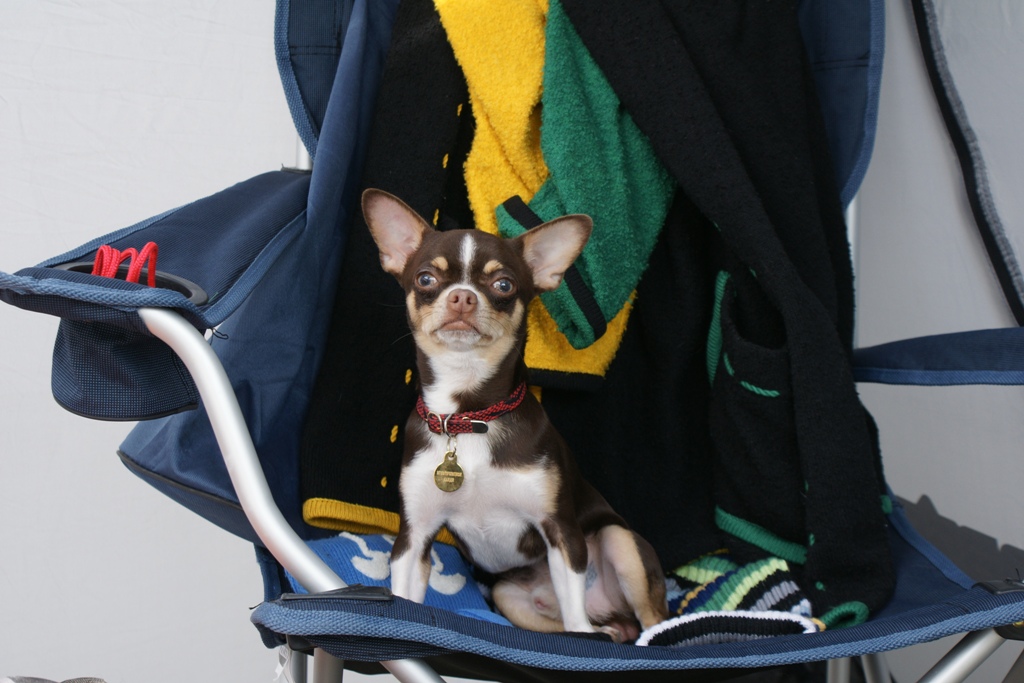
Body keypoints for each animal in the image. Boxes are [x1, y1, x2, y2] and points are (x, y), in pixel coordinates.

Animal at [363, 188, 667, 642]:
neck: (469, 418)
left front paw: (581, 633)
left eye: (503, 284)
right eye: (426, 280)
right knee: (594, 629)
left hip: (618, 541)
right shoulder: (414, 537)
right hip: (509, 597)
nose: (462, 296)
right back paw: (609, 634)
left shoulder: (560, 530)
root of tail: (610, 612)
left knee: (648, 620)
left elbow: (573, 608)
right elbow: (404, 596)